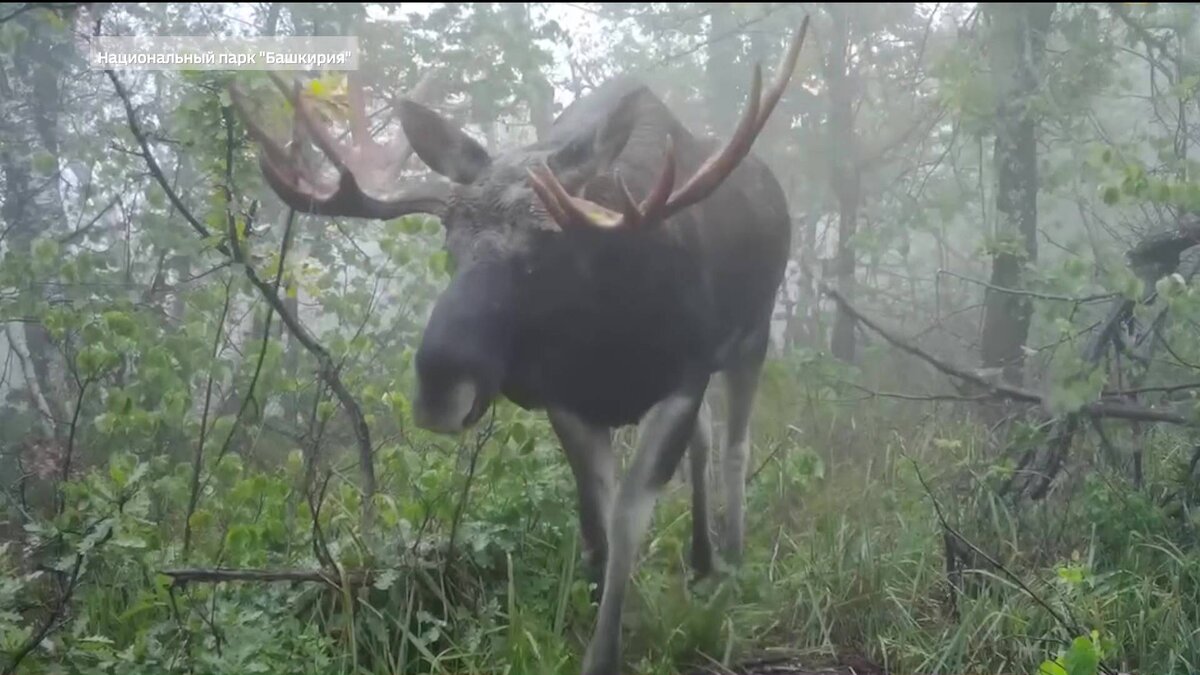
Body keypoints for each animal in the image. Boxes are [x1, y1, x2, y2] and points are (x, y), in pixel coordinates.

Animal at [229, 17, 811, 672]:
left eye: (546, 247)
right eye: (449, 242)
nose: (439, 388)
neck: (611, 338)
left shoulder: (683, 375)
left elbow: (628, 518)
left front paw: (606, 653)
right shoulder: (570, 400)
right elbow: (595, 522)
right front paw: (608, 615)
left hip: (751, 336)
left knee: (736, 443)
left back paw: (731, 559)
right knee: (708, 440)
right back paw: (703, 558)